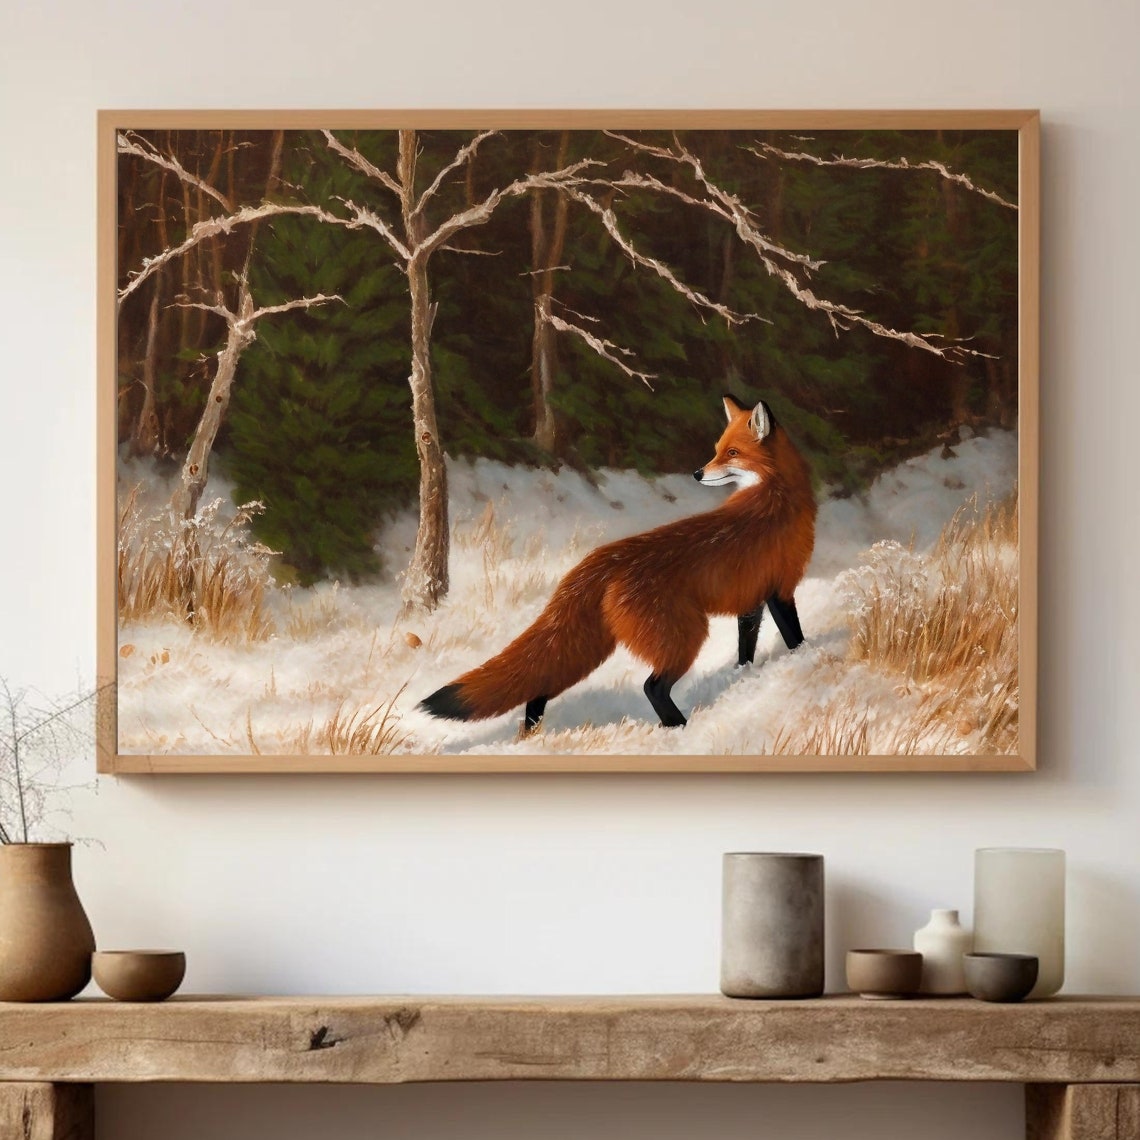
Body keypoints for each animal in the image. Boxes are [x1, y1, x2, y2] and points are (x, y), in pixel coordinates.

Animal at [420, 393, 816, 731]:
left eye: (731, 452)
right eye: (718, 450)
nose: (698, 473)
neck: (775, 498)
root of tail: (600, 558)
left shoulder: (753, 599)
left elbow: (745, 649)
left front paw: (743, 678)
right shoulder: (781, 589)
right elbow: (793, 635)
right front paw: (807, 656)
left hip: (592, 645)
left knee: (540, 687)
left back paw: (531, 735)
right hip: (683, 637)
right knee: (652, 687)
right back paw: (679, 727)